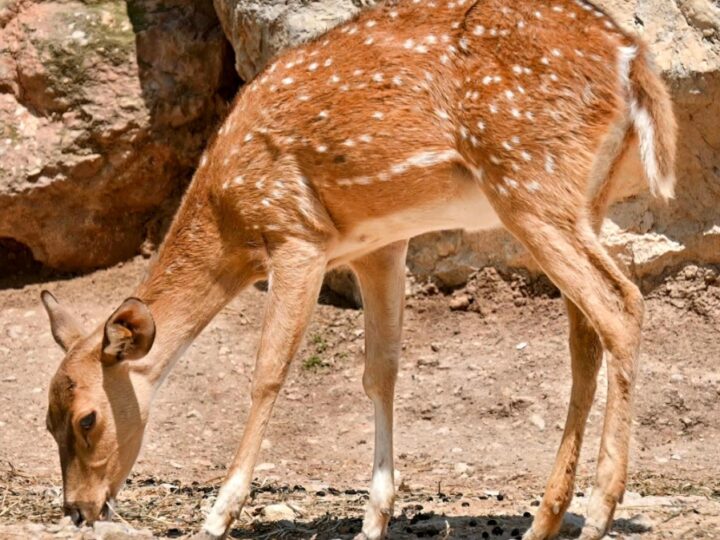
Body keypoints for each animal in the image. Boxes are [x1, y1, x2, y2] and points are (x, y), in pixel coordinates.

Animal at [40, 1, 676, 540]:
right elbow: (381, 372)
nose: (79, 509)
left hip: (528, 179)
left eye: (87, 419)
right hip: (583, 197)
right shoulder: (380, 245)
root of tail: (632, 61)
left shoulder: (296, 234)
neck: (228, 218)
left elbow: (268, 371)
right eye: (47, 420)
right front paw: (374, 519)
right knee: (585, 336)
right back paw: (545, 520)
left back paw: (599, 512)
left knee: (621, 304)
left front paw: (218, 515)